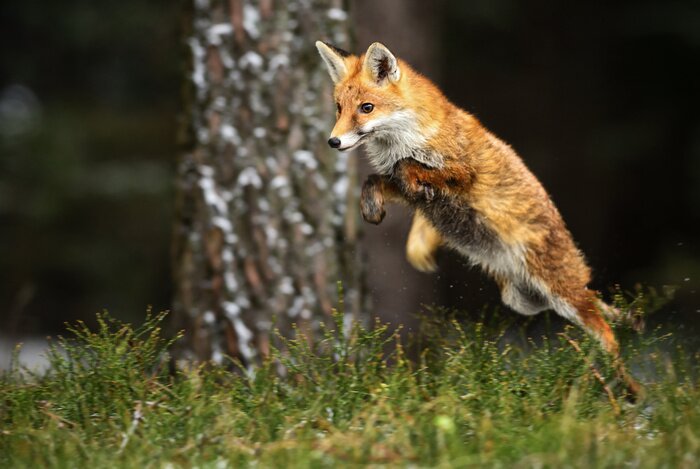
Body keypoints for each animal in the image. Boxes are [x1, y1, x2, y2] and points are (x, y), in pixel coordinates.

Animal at [315, 41, 639, 396]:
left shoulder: (462, 172)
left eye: (366, 107)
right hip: (524, 300)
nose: (333, 141)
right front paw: (373, 208)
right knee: (595, 306)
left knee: (607, 333)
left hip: (561, 293)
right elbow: (375, 180)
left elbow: (408, 167)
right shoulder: (401, 189)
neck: (407, 139)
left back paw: (629, 388)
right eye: (338, 108)